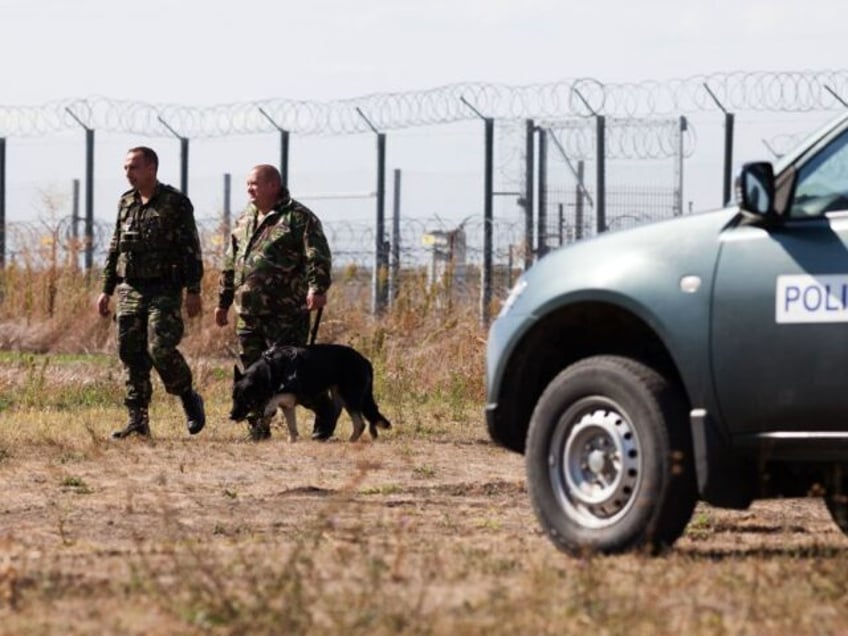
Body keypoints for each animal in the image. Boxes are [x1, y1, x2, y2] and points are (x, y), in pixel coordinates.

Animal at [230, 346, 392, 440]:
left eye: (244, 399)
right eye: (233, 398)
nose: (230, 416)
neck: (270, 371)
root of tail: (364, 360)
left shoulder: (290, 394)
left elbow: (272, 401)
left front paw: (268, 411)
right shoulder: (288, 405)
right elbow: (292, 428)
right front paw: (292, 441)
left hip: (350, 397)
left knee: (360, 423)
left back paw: (349, 441)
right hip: (340, 395)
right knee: (340, 412)